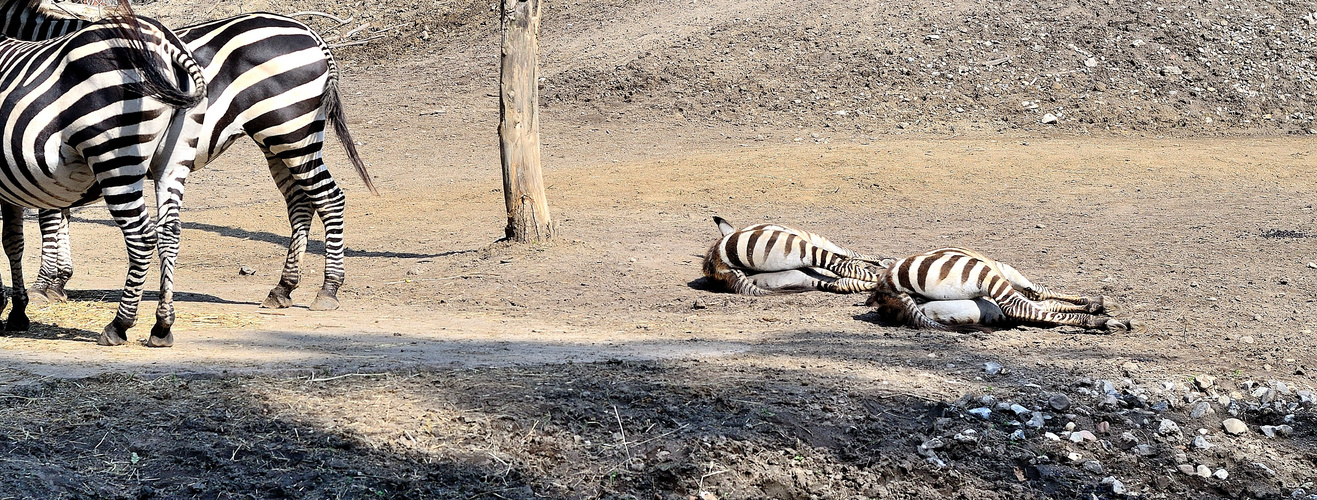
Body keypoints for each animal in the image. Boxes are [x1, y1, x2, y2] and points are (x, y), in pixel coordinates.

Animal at [0, 12, 208, 347]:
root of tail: (166, 44)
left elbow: (11, 242)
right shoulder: (11, 187)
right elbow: (14, 243)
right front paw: (17, 312)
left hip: (114, 154)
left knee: (142, 237)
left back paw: (119, 325)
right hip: (174, 159)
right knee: (170, 233)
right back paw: (162, 326)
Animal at [2, 0, 379, 313]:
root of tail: (313, 35)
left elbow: (50, 217)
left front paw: (45, 284)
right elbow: (59, 213)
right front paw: (59, 279)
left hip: (291, 132)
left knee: (330, 198)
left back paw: (328, 289)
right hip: (278, 140)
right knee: (301, 202)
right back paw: (283, 288)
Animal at [700, 217, 895, 294]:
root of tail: (717, 259)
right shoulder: (821, 240)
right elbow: (850, 253)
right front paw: (885, 261)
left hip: (795, 276)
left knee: (840, 283)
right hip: (801, 249)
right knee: (843, 269)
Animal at [863, 247, 1132, 331]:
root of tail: (885, 289)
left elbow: (1046, 301)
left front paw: (1094, 304)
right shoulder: (1010, 274)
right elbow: (1041, 293)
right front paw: (1098, 305)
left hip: (974, 308)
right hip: (982, 274)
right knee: (1018, 307)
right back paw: (1103, 323)